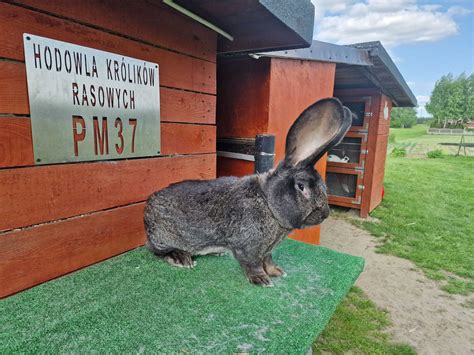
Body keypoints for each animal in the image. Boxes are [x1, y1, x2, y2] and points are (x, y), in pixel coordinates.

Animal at [144, 97, 352, 286]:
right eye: (301, 186)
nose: (325, 214)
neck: (268, 203)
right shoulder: (248, 247)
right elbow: (253, 263)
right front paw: (262, 280)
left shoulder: (267, 249)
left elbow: (268, 260)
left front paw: (276, 272)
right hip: (162, 238)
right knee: (156, 250)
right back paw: (180, 258)